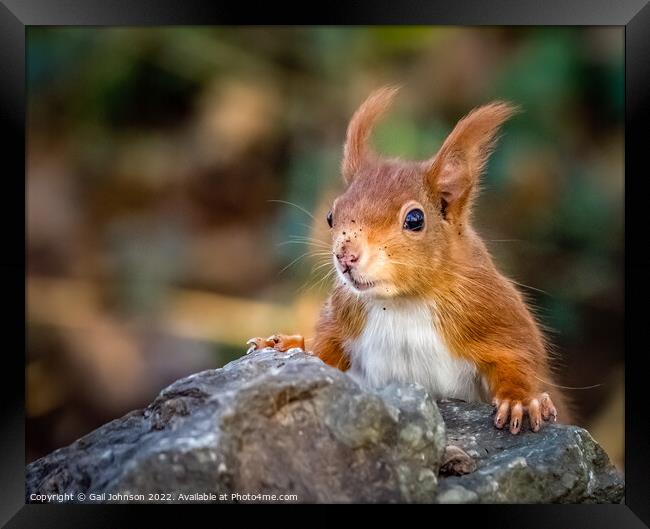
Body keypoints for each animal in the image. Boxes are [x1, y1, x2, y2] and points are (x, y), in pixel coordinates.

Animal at [248, 85, 568, 434]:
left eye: (415, 219)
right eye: (331, 215)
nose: (346, 255)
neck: (402, 303)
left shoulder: (494, 310)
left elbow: (519, 356)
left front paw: (520, 401)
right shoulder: (342, 320)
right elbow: (324, 352)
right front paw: (290, 344)